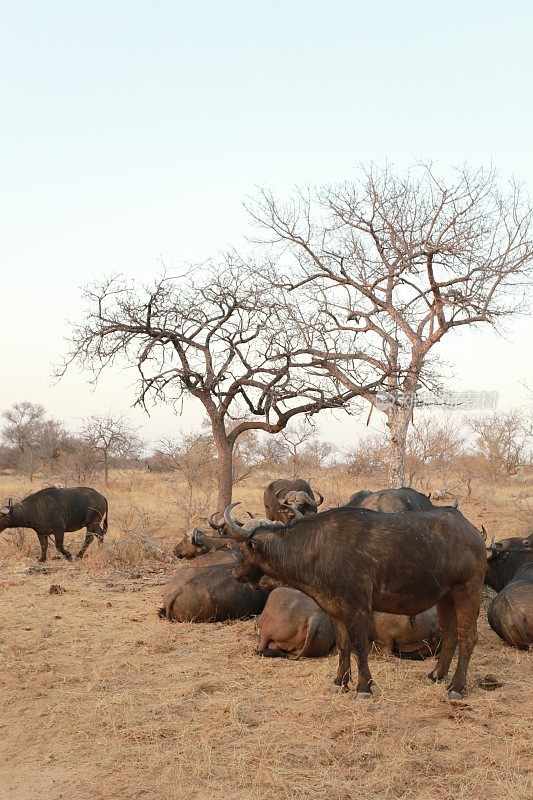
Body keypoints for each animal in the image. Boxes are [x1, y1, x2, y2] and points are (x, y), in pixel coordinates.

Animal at [224, 506, 486, 700]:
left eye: (243, 548)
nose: (235, 573)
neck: (317, 548)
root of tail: (472, 534)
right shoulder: (334, 610)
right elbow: (343, 645)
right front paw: (339, 682)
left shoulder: (357, 608)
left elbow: (359, 645)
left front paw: (363, 688)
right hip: (445, 598)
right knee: (450, 635)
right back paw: (436, 675)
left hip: (467, 591)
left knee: (468, 637)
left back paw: (456, 687)